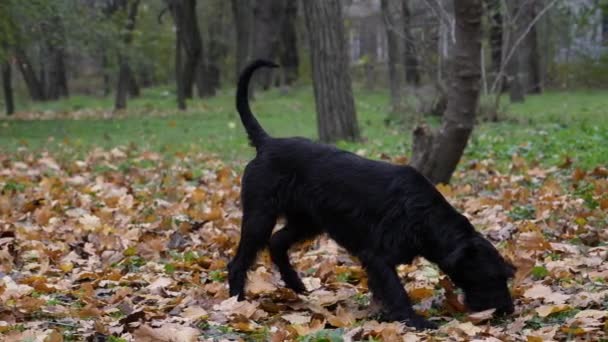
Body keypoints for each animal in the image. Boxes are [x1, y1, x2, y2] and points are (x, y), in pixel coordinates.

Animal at [227, 60, 512, 330]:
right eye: (491, 276)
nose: (508, 309)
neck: (424, 216)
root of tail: (267, 143)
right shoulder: (377, 256)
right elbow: (395, 290)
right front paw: (414, 320)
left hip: (306, 221)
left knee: (277, 242)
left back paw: (296, 285)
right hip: (260, 217)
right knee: (240, 260)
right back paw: (236, 302)